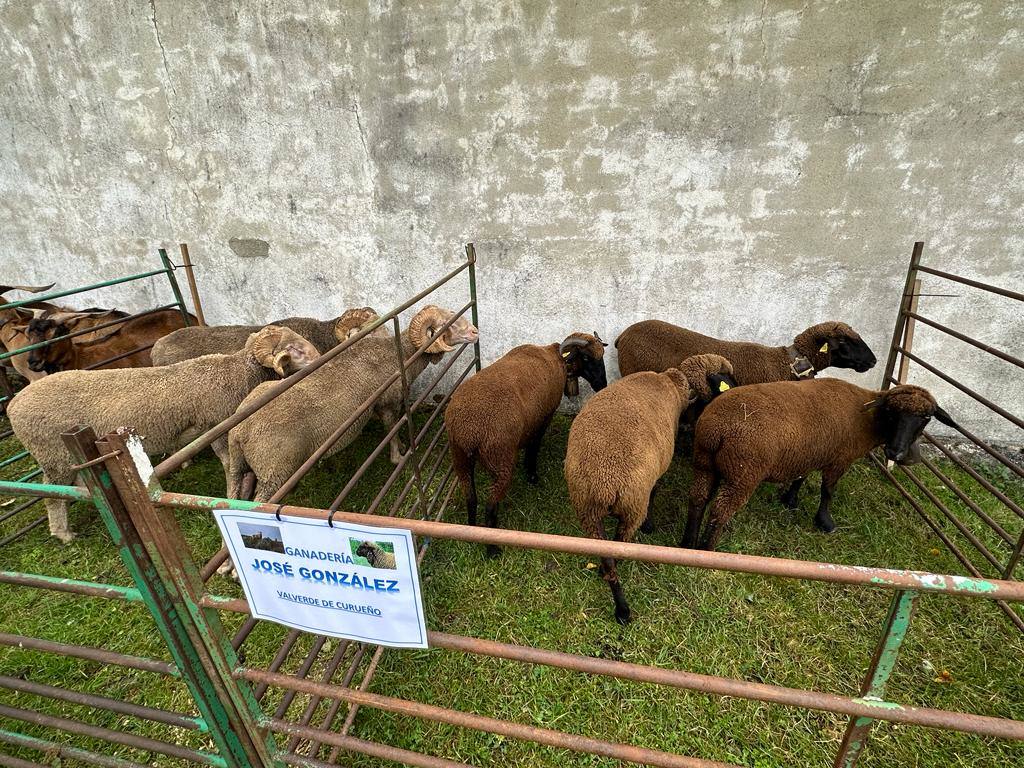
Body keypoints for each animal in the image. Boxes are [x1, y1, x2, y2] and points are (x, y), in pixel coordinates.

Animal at [446, 331, 606, 561]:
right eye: (585, 357)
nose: (602, 384)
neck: (557, 358)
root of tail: (469, 431)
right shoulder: (544, 417)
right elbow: (534, 446)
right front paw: (531, 474)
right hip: (500, 458)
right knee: (490, 506)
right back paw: (492, 549)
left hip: (460, 458)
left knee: (471, 497)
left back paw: (471, 532)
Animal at [684, 380, 954, 552]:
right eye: (890, 412)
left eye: (925, 418)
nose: (895, 453)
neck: (869, 420)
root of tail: (717, 429)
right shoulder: (839, 459)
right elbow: (828, 491)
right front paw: (825, 522)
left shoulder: (809, 452)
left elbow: (801, 477)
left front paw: (790, 500)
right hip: (743, 472)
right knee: (720, 511)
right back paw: (708, 550)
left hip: (705, 461)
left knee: (698, 499)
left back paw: (689, 543)